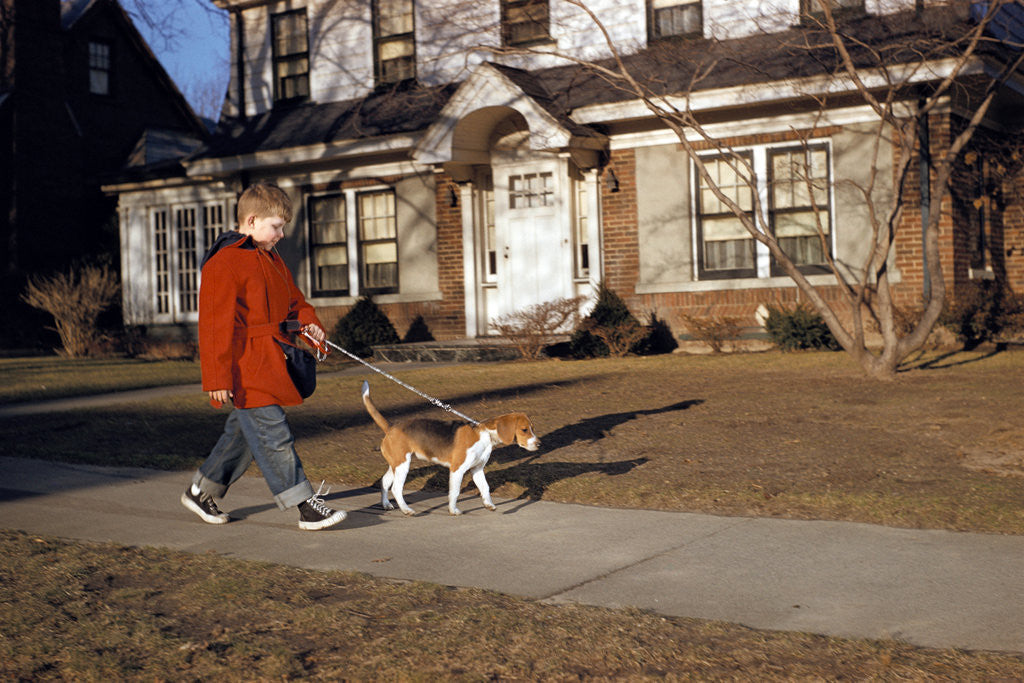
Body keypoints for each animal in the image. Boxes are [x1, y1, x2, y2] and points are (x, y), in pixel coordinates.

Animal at [360, 382, 540, 516]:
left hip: (397, 463)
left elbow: (485, 488)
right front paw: (453, 510)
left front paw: (489, 504)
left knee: (384, 482)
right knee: (396, 488)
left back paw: (386, 504)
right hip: (403, 465)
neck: (485, 435)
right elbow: (455, 492)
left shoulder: (477, 469)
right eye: (524, 430)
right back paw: (406, 509)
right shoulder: (457, 470)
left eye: (533, 428)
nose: (539, 444)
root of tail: (391, 427)